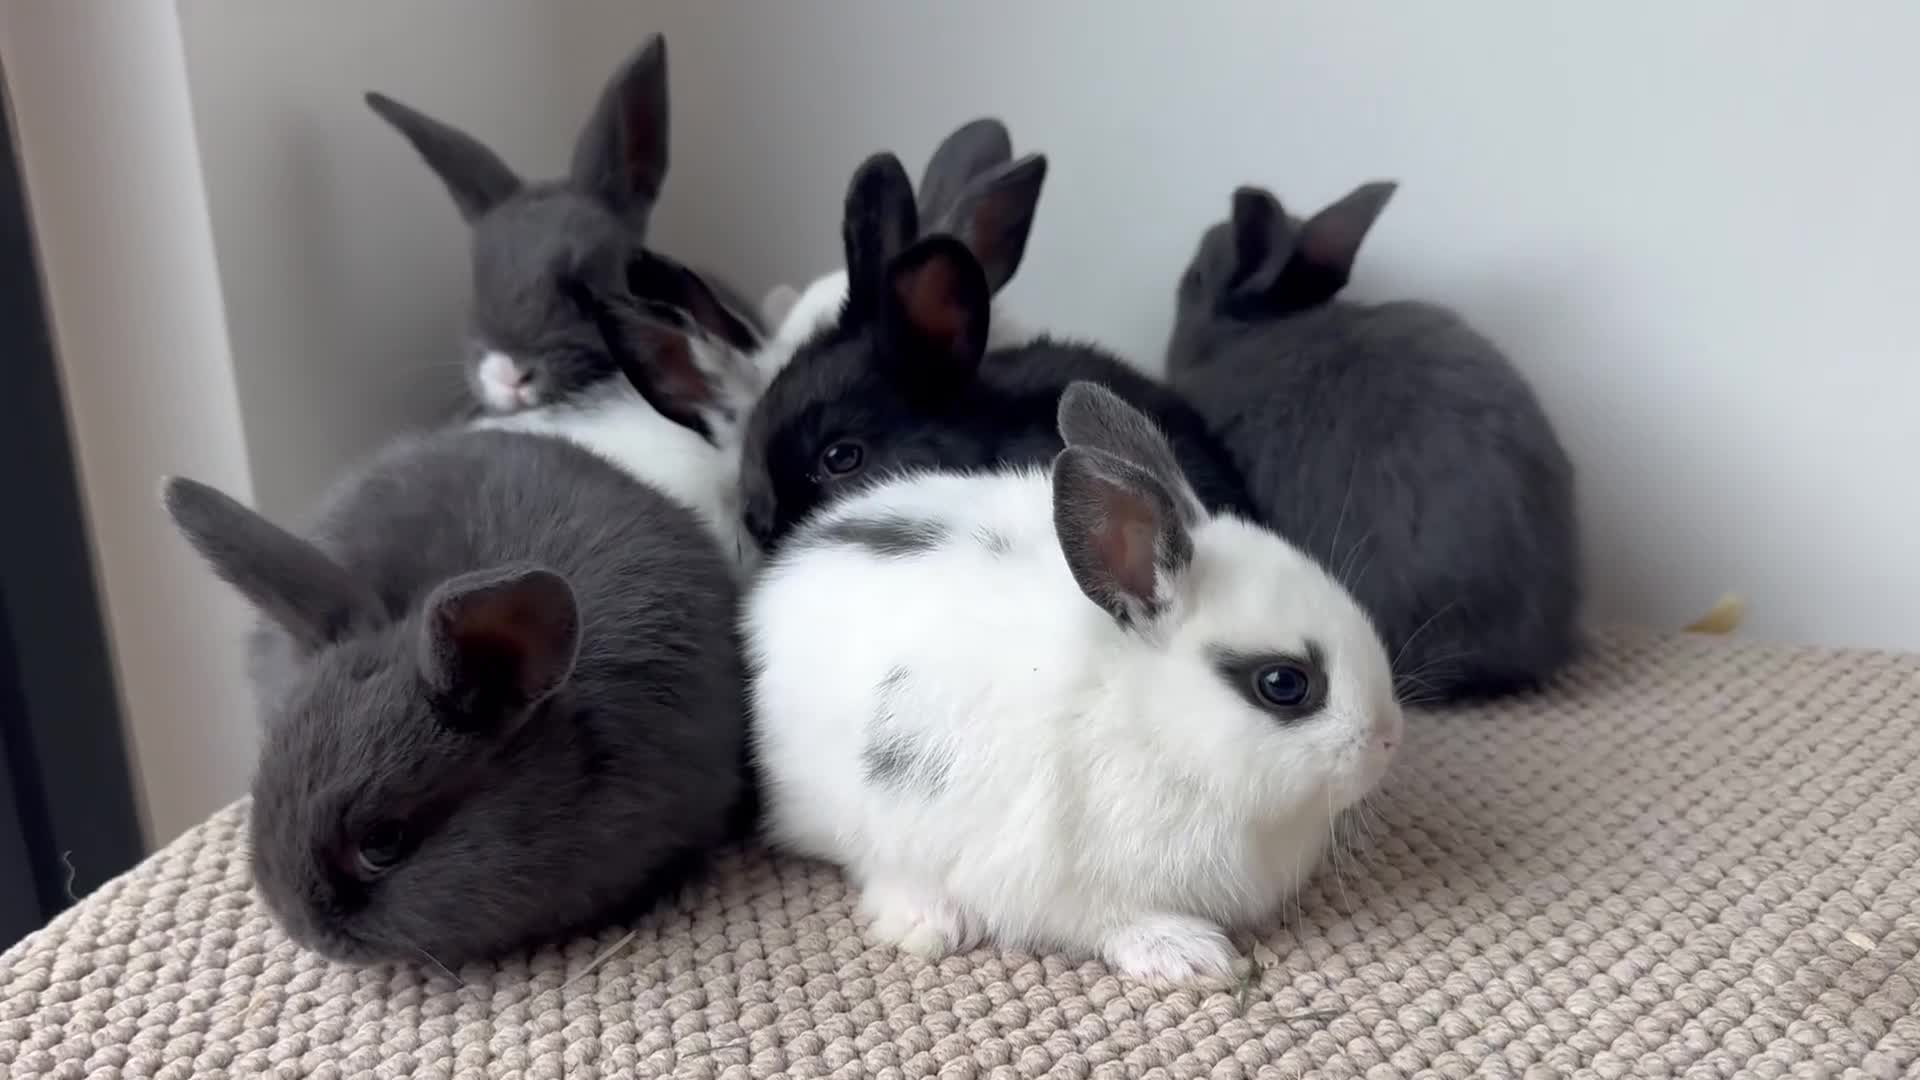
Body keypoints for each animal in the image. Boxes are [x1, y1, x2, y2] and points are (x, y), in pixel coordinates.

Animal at [745, 382, 1402, 987]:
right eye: (1284, 684)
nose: (1389, 741)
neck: (1150, 726)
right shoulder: (1053, 877)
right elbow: (1106, 921)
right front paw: (1188, 955)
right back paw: (930, 921)